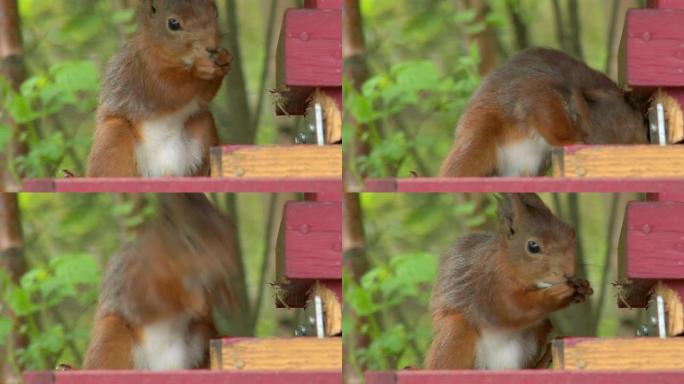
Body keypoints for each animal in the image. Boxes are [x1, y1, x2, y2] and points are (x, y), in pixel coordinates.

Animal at [83, 195, 240, 368]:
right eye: (190, 239)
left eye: (230, 230)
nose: (229, 266)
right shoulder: (132, 281)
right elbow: (156, 301)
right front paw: (195, 300)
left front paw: (228, 297)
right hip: (109, 336)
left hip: (202, 336)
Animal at [87, 0, 231, 177]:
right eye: (173, 23)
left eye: (216, 12)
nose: (212, 47)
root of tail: (162, 170)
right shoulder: (144, 70)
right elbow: (169, 90)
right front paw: (200, 68)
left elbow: (204, 96)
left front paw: (224, 59)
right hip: (113, 137)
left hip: (203, 127)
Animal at [428, 194, 592, 370]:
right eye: (533, 246)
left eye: (571, 232)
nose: (569, 273)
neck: (507, 263)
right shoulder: (488, 285)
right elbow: (510, 309)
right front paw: (556, 294)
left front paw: (583, 288)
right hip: (455, 332)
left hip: (540, 330)